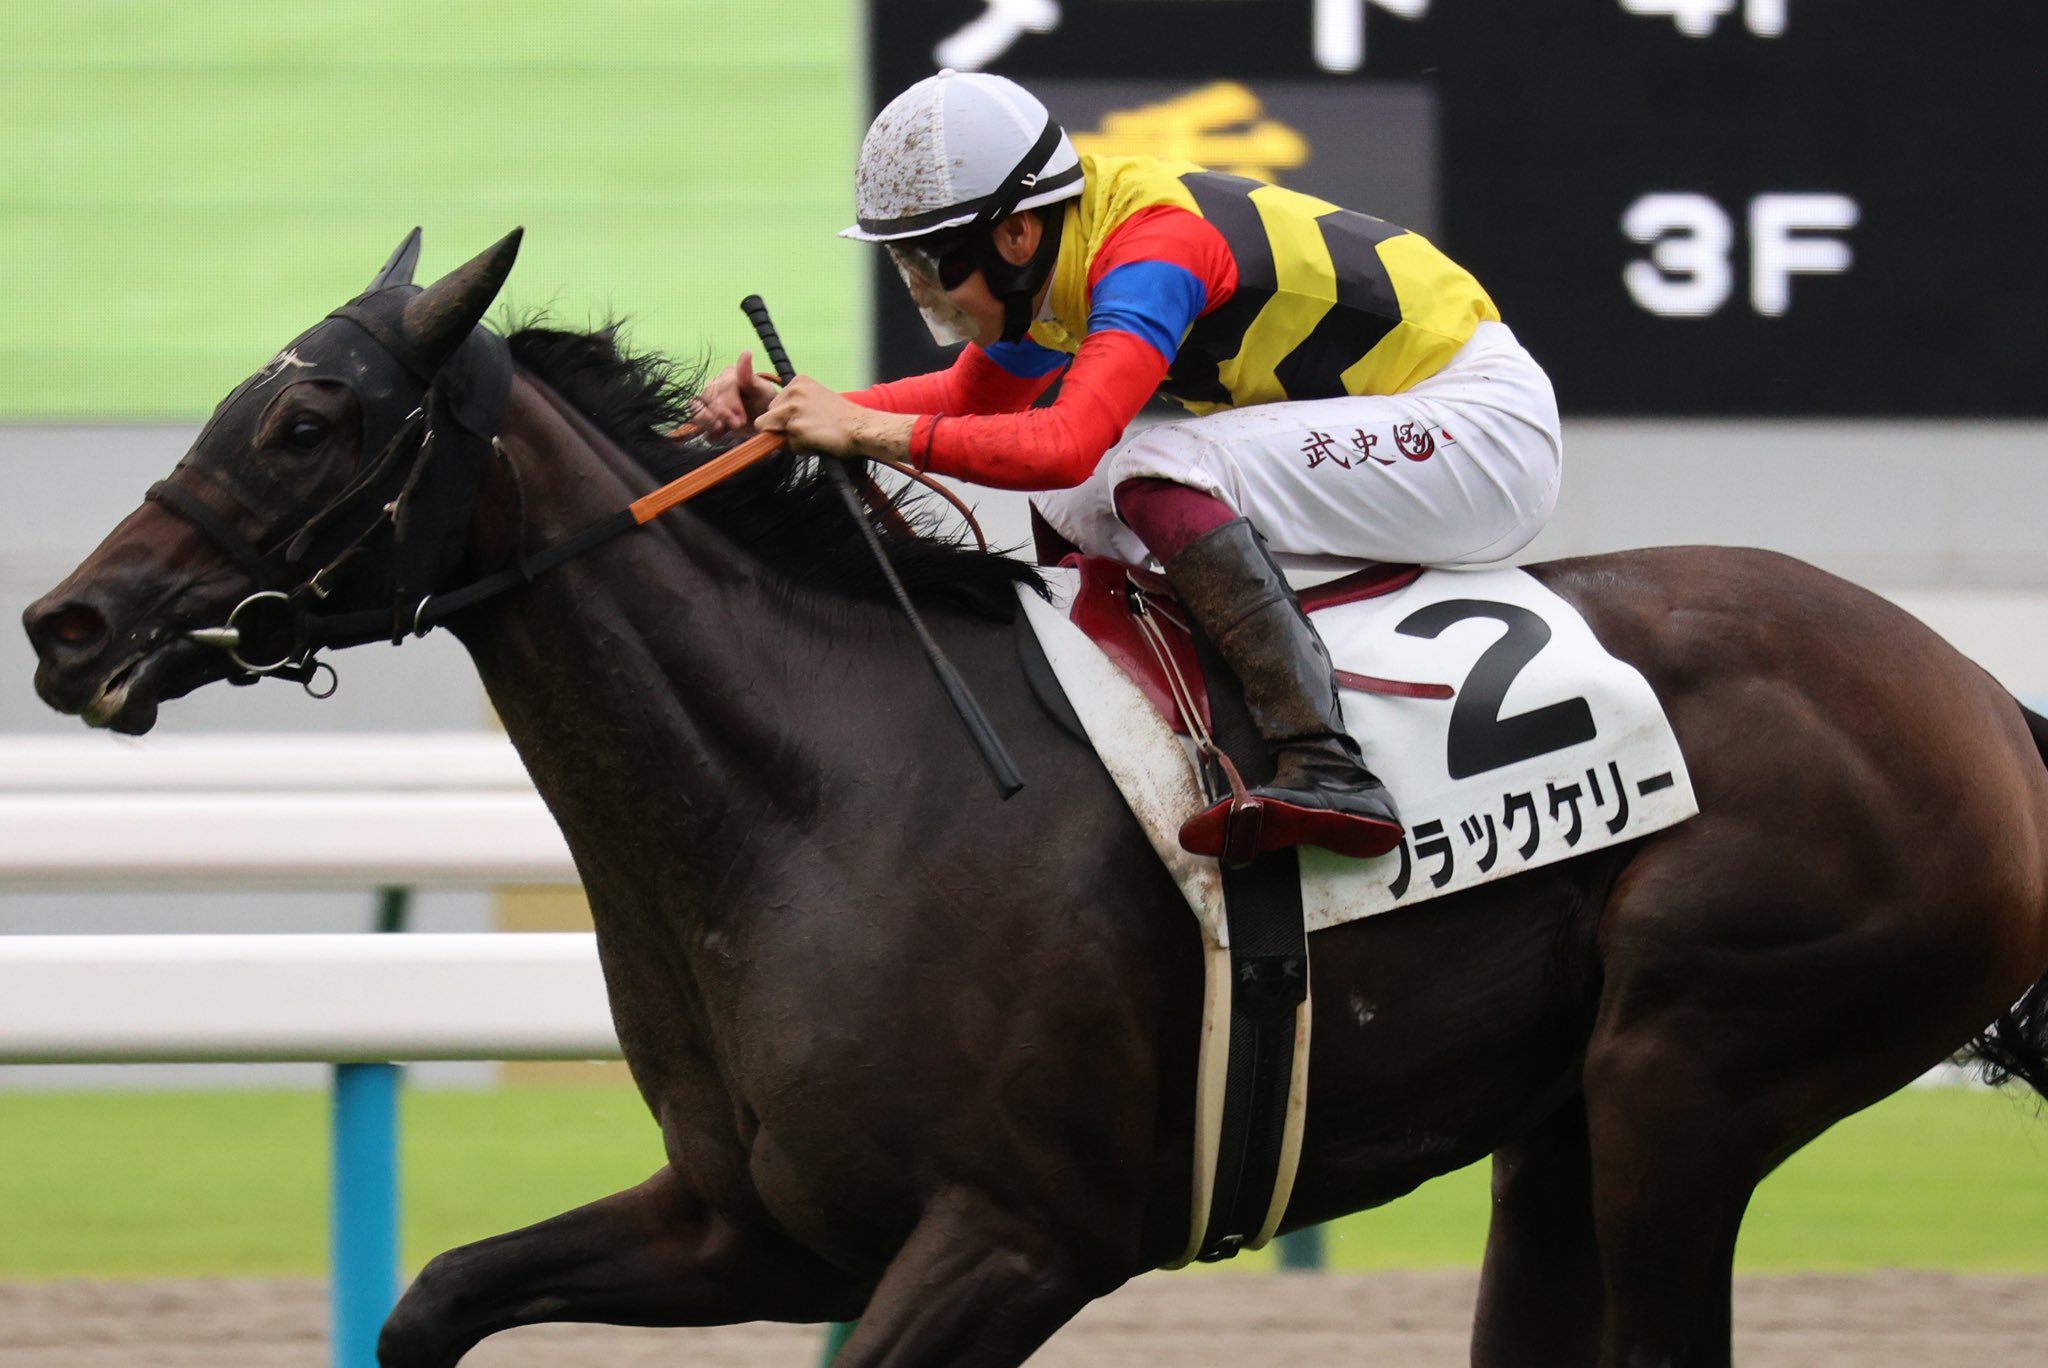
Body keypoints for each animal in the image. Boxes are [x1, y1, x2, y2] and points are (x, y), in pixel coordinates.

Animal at [23, 229, 2048, 1368]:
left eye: (306, 423)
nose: (69, 623)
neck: (823, 789)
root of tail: (1976, 696)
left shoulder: (1017, 1234)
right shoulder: (754, 1225)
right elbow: (434, 1295)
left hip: (1690, 1077)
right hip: (1563, 1120)